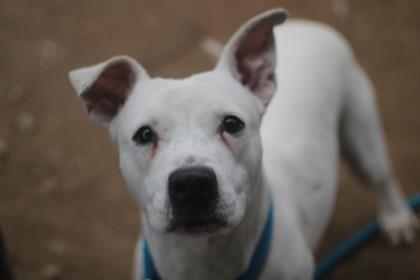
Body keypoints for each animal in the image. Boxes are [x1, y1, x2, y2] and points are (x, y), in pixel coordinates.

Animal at [68, 9, 416, 280]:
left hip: (361, 137)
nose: (191, 184)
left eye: (232, 124)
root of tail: (309, 25)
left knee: (382, 176)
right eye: (144, 135)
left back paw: (397, 218)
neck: (203, 259)